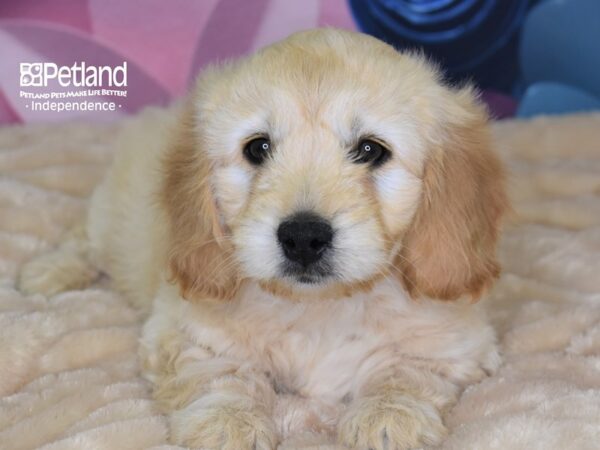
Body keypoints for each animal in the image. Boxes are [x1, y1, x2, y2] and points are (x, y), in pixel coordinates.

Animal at [19, 29, 506, 450]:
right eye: (257, 148)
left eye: (371, 150)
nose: (303, 237)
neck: (319, 308)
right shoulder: (185, 326)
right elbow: (218, 370)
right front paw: (227, 422)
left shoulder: (455, 341)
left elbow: (408, 369)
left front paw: (389, 416)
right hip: (112, 218)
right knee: (84, 238)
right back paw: (49, 272)